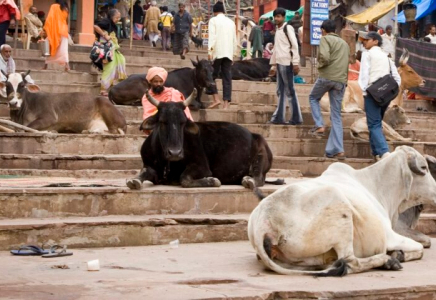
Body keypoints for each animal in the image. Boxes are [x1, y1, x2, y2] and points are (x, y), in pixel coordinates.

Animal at [249, 146, 436, 276]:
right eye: (424, 168)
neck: (376, 185)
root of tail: (262, 223)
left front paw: (399, 254)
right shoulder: (390, 235)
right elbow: (420, 247)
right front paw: (398, 255)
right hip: (339, 207)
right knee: (350, 262)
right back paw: (388, 260)